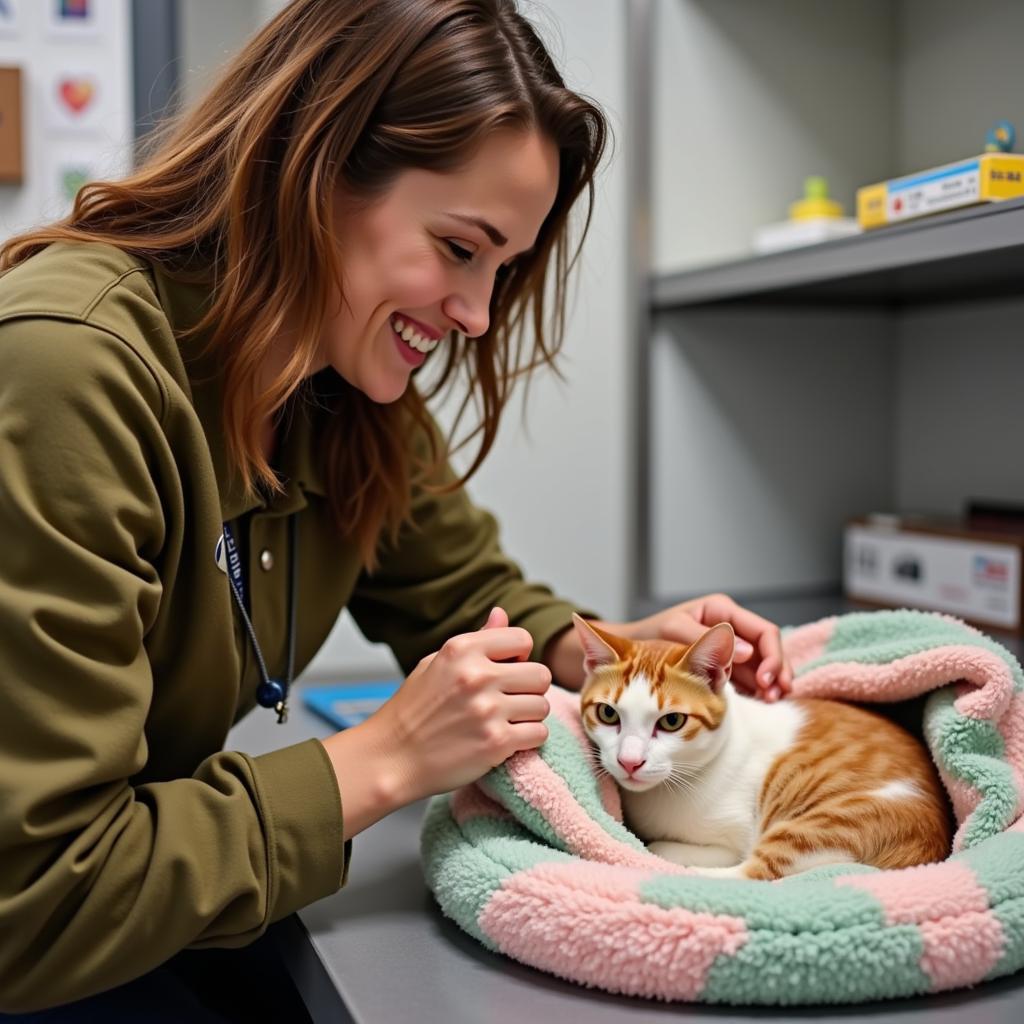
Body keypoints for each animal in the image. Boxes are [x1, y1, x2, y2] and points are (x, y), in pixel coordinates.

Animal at [577, 614, 950, 880]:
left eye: (672, 722)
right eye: (608, 714)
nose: (630, 761)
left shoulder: (734, 839)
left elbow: (665, 844)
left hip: (828, 820)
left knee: (752, 873)